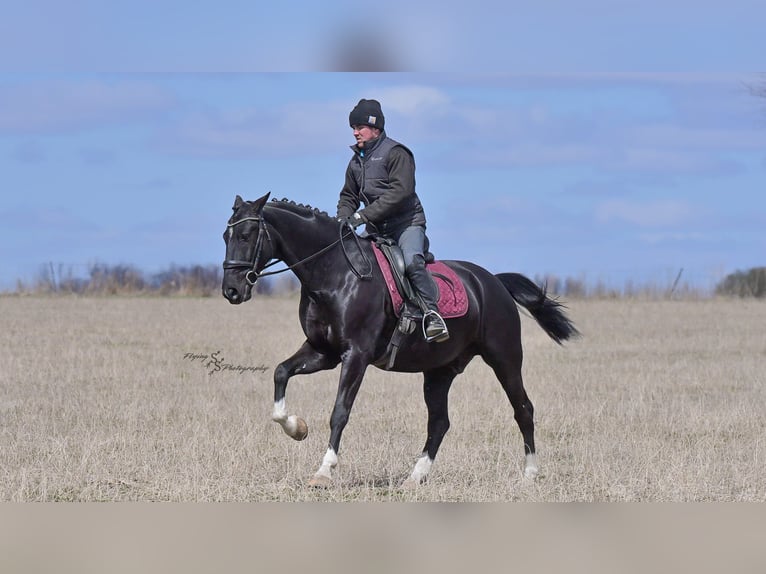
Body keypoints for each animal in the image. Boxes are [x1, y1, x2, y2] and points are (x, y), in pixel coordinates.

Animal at [221, 192, 579, 487]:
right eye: (226, 236)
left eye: (246, 235)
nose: (231, 291)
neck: (335, 273)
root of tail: (493, 282)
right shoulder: (323, 352)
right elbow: (281, 373)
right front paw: (296, 428)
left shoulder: (356, 355)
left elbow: (340, 411)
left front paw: (324, 471)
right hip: (439, 371)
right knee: (439, 422)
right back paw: (415, 477)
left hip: (504, 358)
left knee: (523, 409)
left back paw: (530, 473)